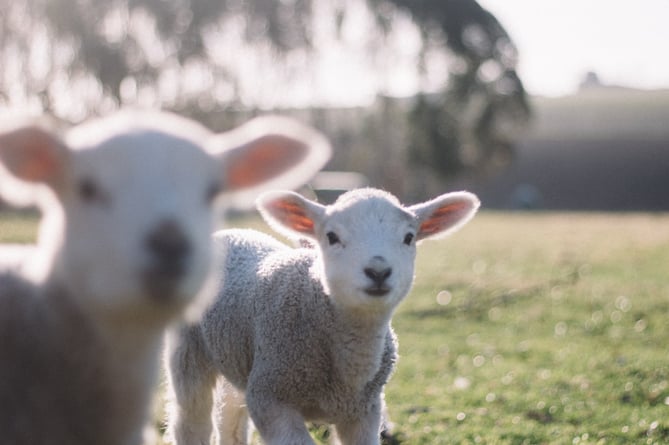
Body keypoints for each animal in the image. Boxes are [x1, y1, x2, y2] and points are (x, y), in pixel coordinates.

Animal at [166, 186, 480, 444]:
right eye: (332, 237)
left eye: (409, 237)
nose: (378, 271)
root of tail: (232, 232)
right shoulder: (271, 399)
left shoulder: (365, 412)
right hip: (188, 351)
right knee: (191, 420)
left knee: (230, 417)